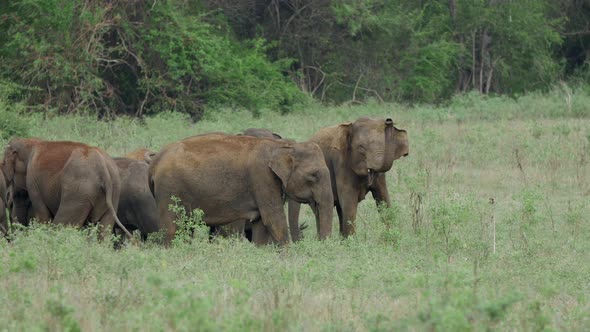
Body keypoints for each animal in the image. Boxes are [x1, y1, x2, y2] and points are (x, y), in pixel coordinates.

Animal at [1, 137, 134, 239]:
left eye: (3, 164)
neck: (29, 141)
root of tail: (102, 167)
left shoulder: (33, 181)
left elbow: (43, 214)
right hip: (114, 190)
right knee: (103, 231)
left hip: (77, 193)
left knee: (61, 225)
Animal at [148, 134, 336, 245]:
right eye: (313, 175)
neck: (283, 145)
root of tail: (155, 163)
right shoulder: (262, 177)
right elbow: (273, 219)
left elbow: (261, 224)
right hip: (169, 190)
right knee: (173, 228)